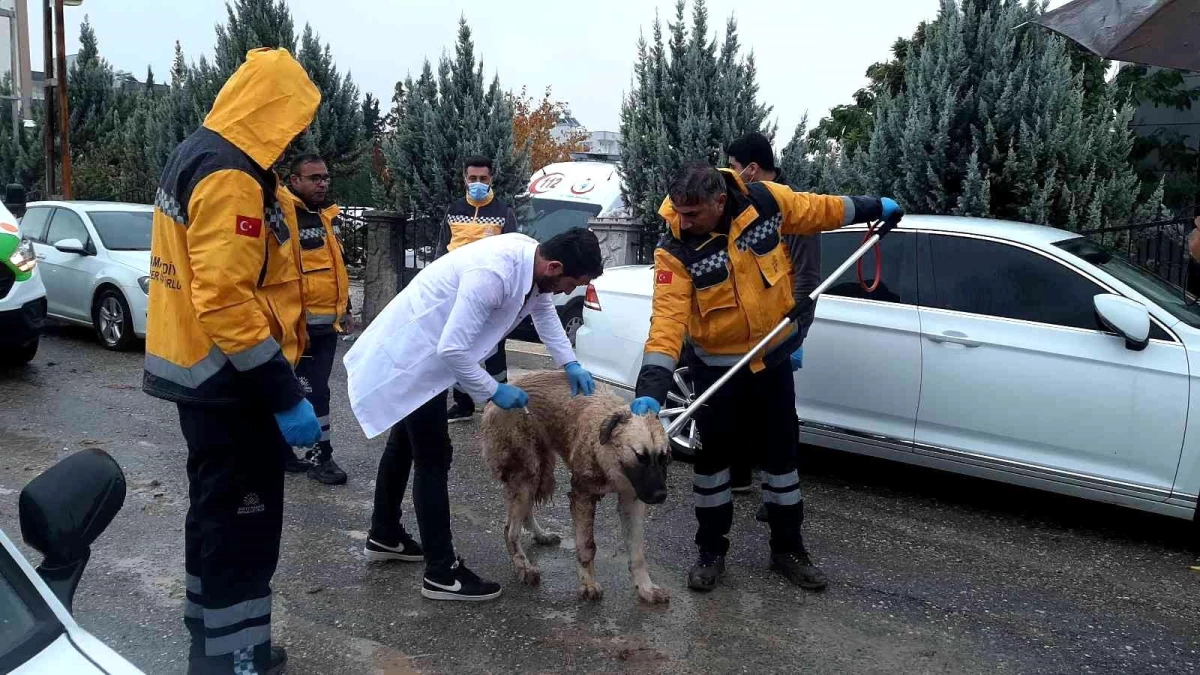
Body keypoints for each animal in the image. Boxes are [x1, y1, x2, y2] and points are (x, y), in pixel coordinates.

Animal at [487, 369, 676, 600]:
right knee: (509, 530)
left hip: (540, 472)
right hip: (526, 475)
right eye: (641, 457)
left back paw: (540, 535)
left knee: (524, 513)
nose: (661, 496)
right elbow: (587, 545)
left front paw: (645, 588)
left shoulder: (632, 500)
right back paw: (524, 567)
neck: (605, 449)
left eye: (665, 457)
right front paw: (588, 584)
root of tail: (503, 386)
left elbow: (637, 551)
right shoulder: (582, 496)